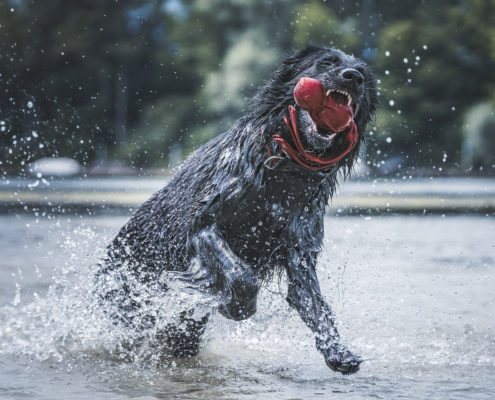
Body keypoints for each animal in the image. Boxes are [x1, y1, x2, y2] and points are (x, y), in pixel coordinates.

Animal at [97, 46, 378, 376]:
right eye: (327, 62)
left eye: (363, 74)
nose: (354, 77)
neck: (285, 173)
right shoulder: (204, 225)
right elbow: (242, 275)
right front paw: (236, 306)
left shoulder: (300, 252)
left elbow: (316, 306)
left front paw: (338, 351)